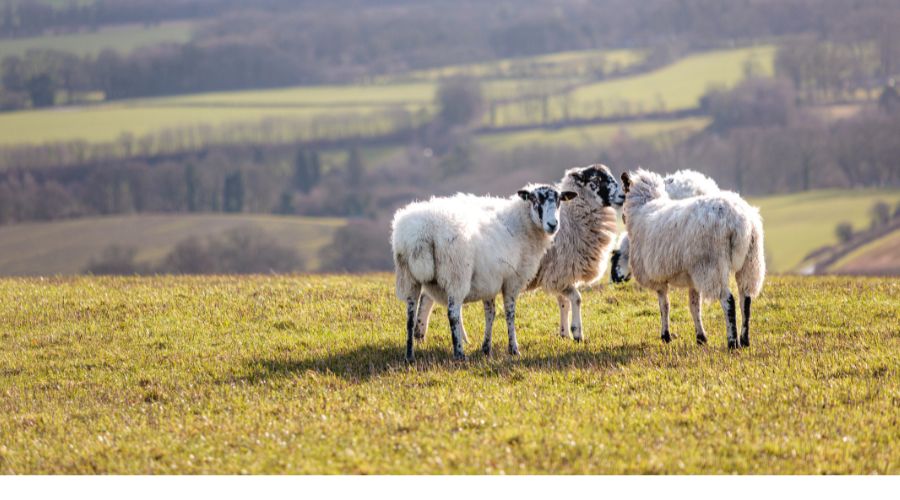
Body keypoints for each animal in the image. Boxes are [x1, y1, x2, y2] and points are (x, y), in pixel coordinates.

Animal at [388, 184, 572, 360]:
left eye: (559, 201)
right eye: (535, 200)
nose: (553, 224)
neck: (521, 224)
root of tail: (421, 232)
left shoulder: (489, 281)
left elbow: (490, 313)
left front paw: (486, 348)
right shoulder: (512, 280)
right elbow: (509, 313)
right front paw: (513, 349)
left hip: (408, 277)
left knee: (410, 316)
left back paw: (410, 355)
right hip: (456, 274)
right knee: (453, 313)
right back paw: (459, 353)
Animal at [528, 163, 624, 340]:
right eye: (595, 180)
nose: (622, 195)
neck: (573, 219)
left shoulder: (560, 276)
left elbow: (563, 303)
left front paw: (564, 333)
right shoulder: (559, 272)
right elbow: (577, 299)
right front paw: (577, 332)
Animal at [620, 168, 768, 348]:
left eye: (624, 192)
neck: (643, 207)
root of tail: (741, 221)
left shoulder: (658, 277)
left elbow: (665, 306)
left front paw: (666, 336)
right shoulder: (692, 278)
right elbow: (694, 306)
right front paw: (701, 337)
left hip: (712, 266)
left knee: (728, 300)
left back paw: (732, 342)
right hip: (751, 261)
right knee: (745, 299)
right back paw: (745, 339)